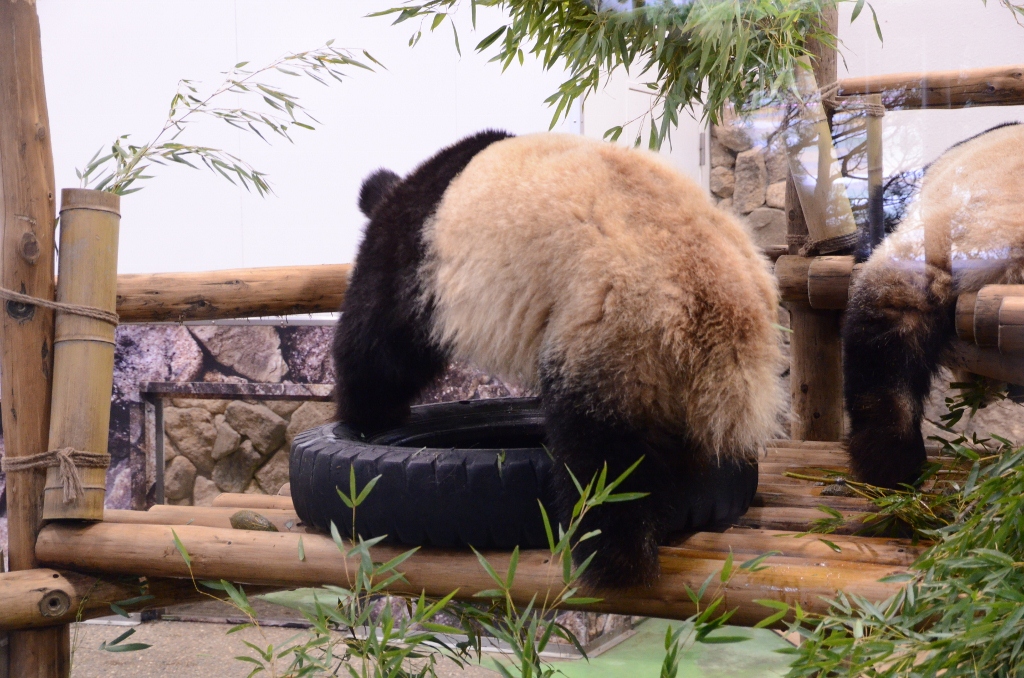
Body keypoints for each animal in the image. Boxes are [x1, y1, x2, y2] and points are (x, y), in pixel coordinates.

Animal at [335, 133, 782, 589]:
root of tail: (715, 308)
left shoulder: (414, 258)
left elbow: (378, 341)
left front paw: (367, 416)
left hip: (614, 329)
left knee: (603, 454)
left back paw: (611, 557)